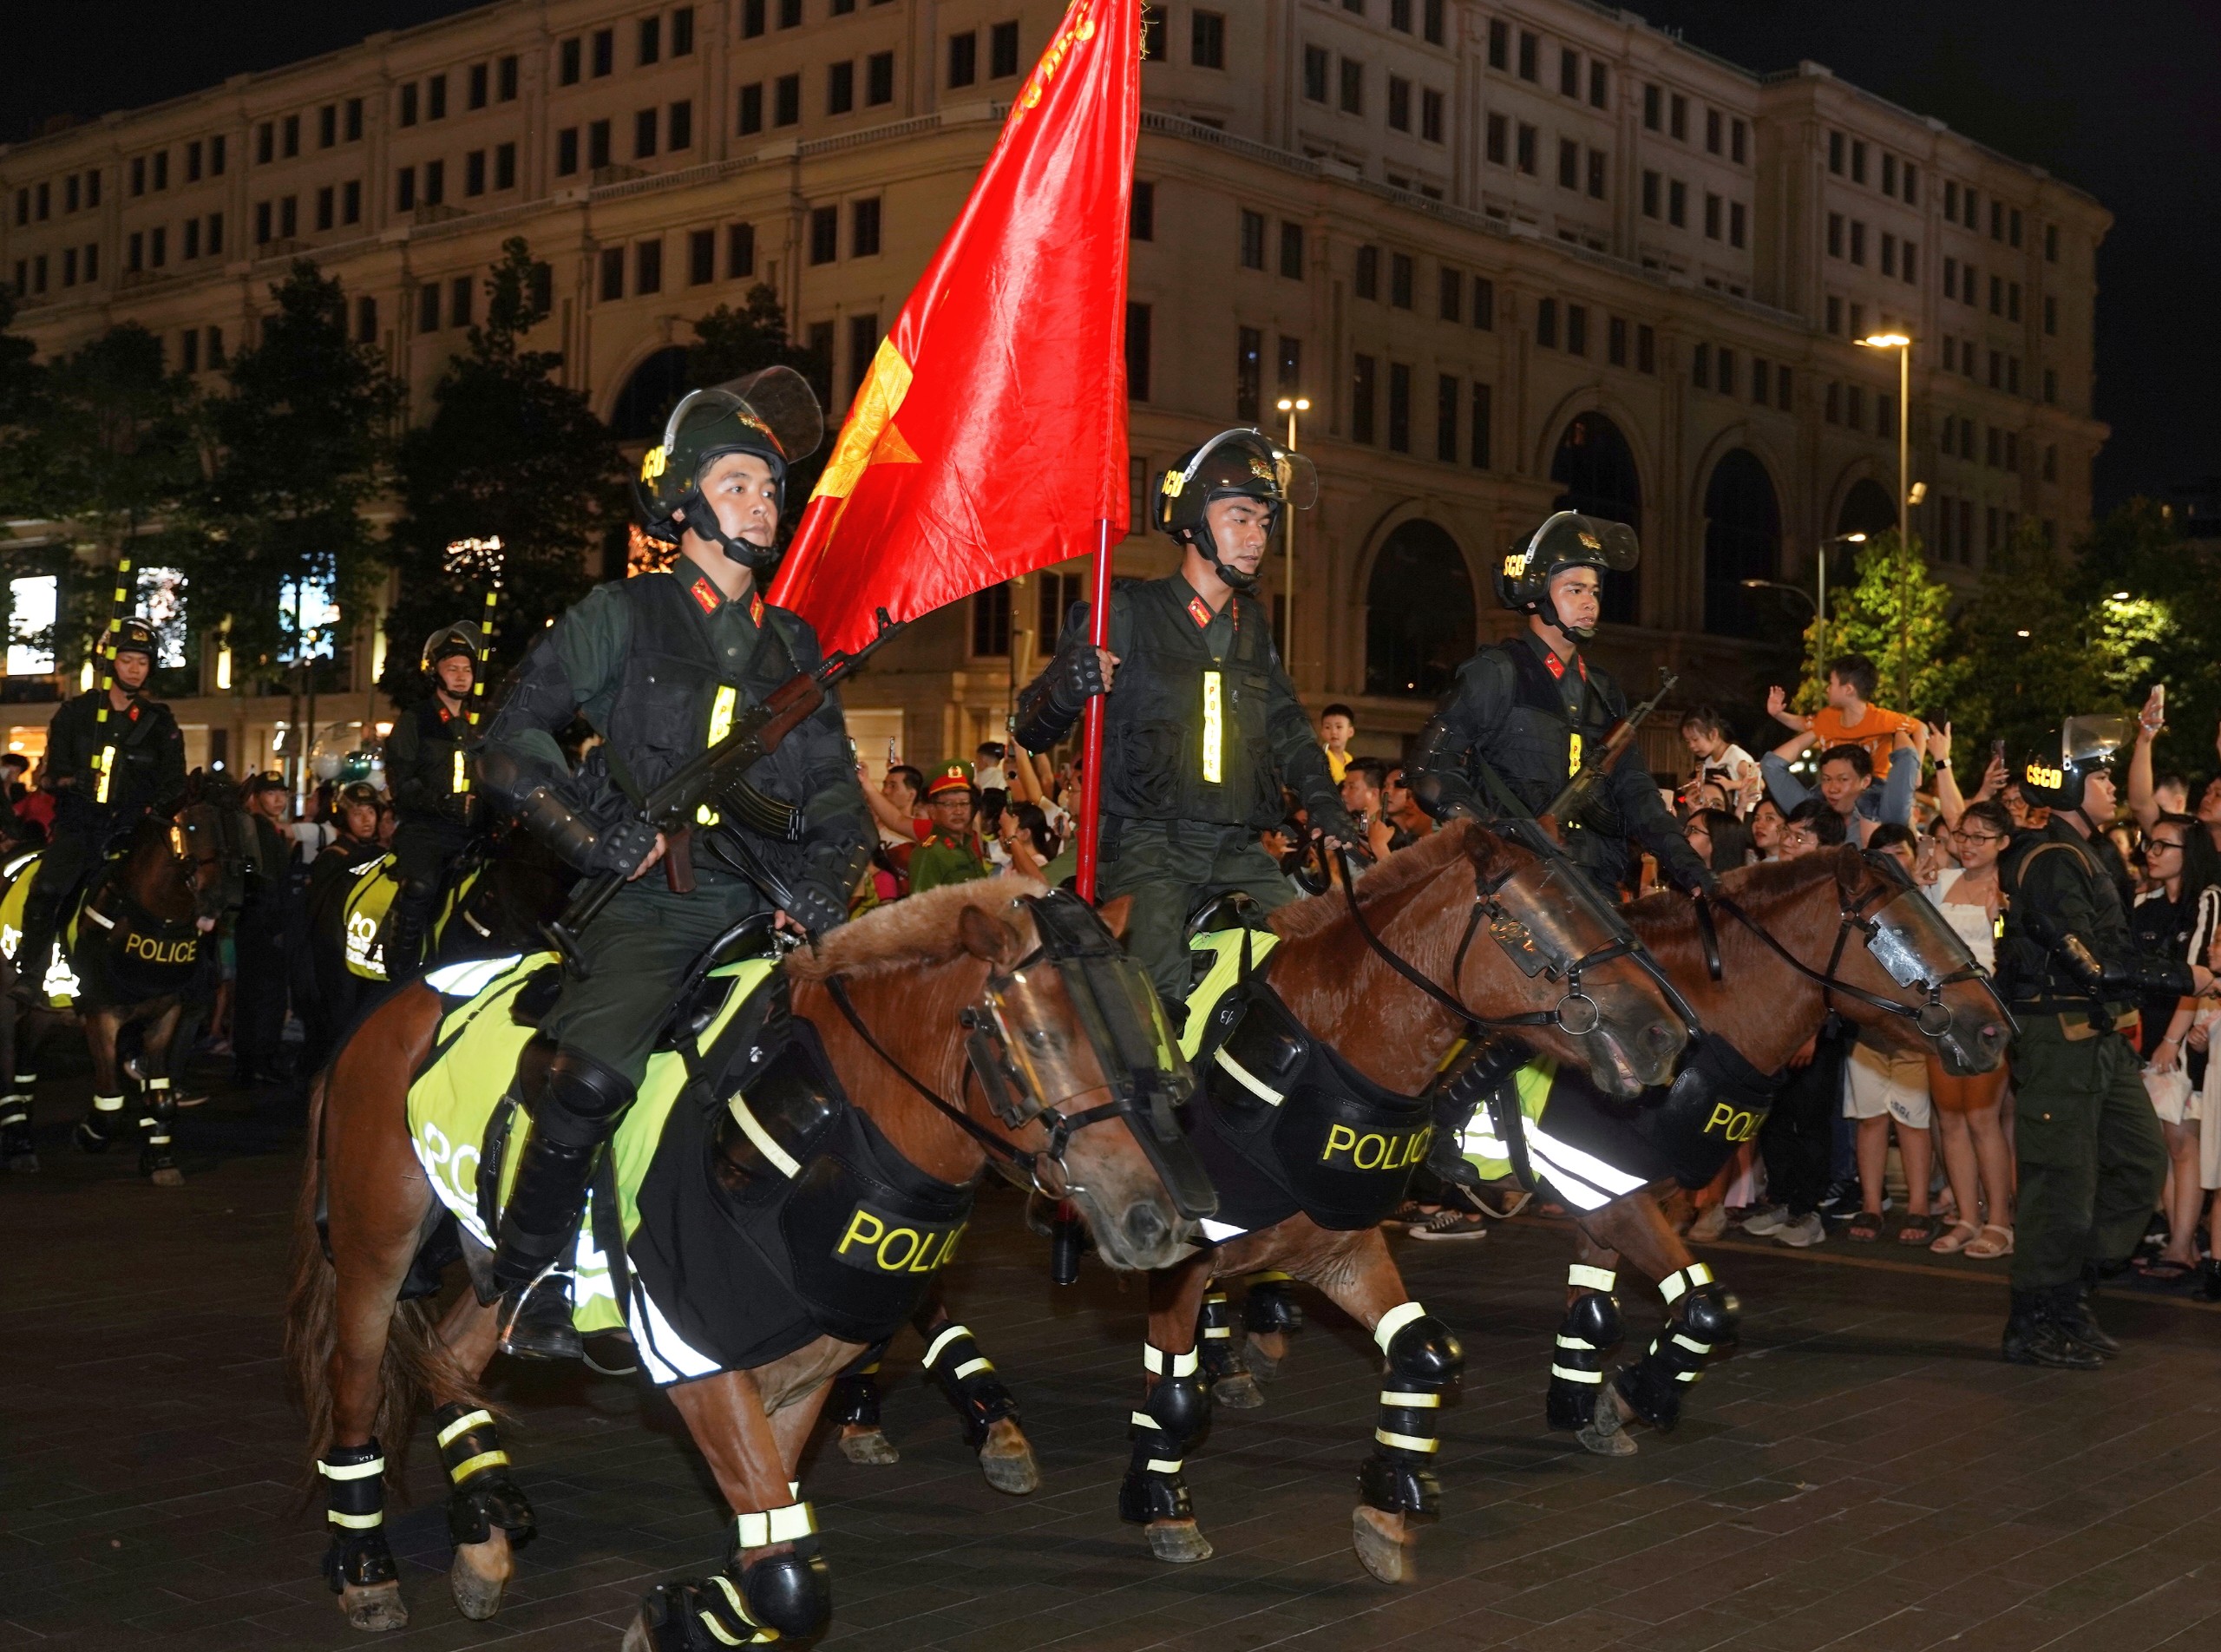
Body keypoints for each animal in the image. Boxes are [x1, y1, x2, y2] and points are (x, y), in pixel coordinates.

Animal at [0, 808, 225, 1172]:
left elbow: (161, 1095)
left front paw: (160, 1157)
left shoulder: (166, 1012)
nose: (218, 899)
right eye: (190, 826)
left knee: (24, 1064)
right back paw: (19, 1144)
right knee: (7, 1068)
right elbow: (110, 1100)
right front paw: (89, 1134)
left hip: (45, 1012)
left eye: (230, 825)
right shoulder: (100, 1014)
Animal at [286, 879, 1208, 1642]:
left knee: (453, 1353)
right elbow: (791, 1580)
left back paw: (482, 1527)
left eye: (1148, 1027)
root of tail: (398, 998)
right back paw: (367, 1570)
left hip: (498, 1264)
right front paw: (668, 1620)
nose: (1155, 1219)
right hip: (375, 1249)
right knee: (359, 1387)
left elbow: (772, 1550)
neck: (839, 1131)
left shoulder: (803, 1375)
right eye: (1038, 1039)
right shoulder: (695, 1354)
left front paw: (698, 1611)